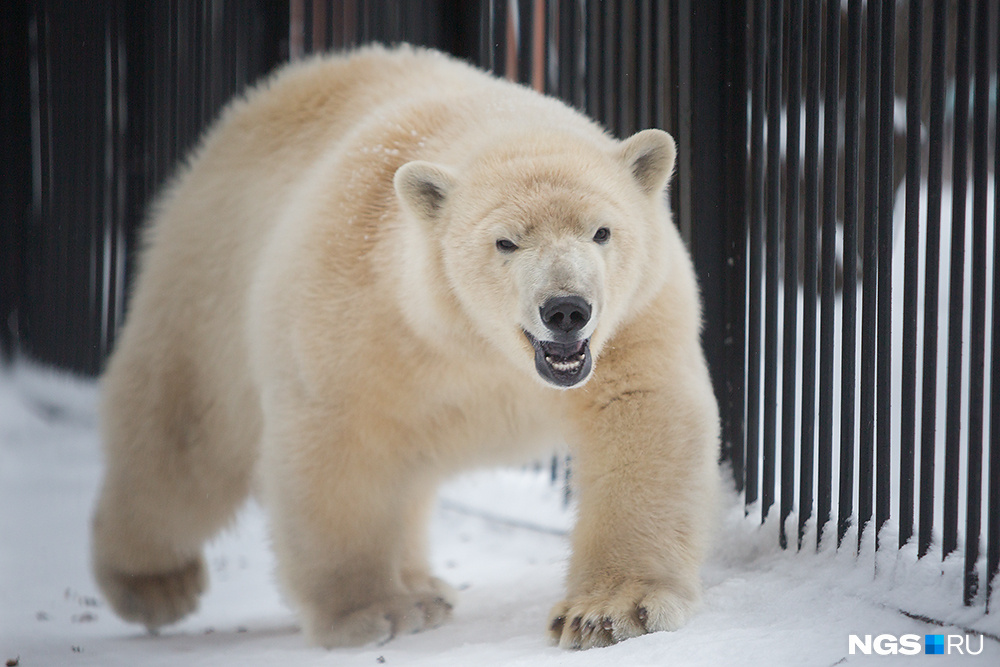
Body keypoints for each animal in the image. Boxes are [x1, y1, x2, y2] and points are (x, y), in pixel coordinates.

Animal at [92, 44, 720, 648]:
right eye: (506, 242)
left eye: (602, 231)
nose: (566, 309)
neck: (482, 347)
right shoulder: (363, 313)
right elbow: (342, 445)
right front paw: (372, 611)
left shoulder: (634, 317)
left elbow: (642, 416)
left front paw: (606, 612)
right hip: (208, 281)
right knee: (184, 439)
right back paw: (154, 584)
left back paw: (424, 585)